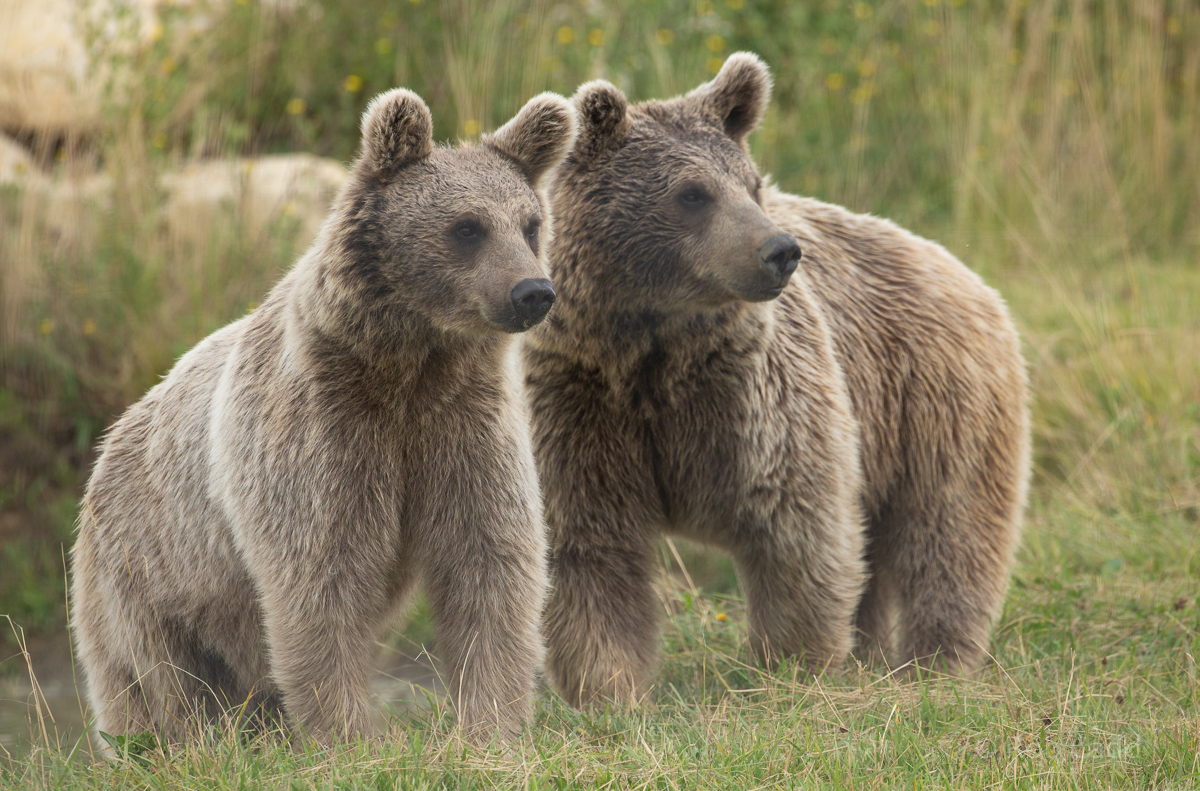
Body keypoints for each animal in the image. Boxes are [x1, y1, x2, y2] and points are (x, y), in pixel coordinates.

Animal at [70, 87, 577, 745]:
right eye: (467, 227)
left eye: (530, 223)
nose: (532, 292)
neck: (408, 365)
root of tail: (106, 447)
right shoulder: (322, 430)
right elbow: (319, 578)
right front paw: (348, 735)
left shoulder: (463, 424)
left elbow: (488, 562)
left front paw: (490, 723)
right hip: (148, 569)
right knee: (160, 683)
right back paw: (170, 741)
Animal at [522, 53, 1030, 708]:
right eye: (692, 193)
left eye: (751, 183)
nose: (779, 250)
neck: (653, 345)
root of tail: (967, 275)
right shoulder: (580, 395)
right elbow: (588, 543)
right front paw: (609, 689)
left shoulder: (755, 394)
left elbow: (796, 522)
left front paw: (794, 665)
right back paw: (874, 654)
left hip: (934, 403)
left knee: (949, 533)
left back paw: (936, 662)